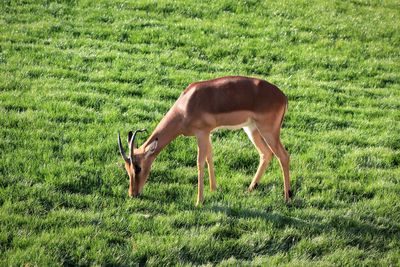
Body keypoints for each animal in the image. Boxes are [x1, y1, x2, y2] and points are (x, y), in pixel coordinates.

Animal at [118, 76, 290, 206]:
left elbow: (199, 162)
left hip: (268, 131)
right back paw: (251, 188)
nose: (133, 194)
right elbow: (209, 156)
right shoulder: (207, 134)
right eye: (126, 168)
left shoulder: (201, 133)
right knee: (266, 154)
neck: (185, 106)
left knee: (284, 156)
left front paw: (199, 201)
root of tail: (283, 97)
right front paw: (214, 189)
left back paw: (287, 197)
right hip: (251, 129)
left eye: (138, 168)